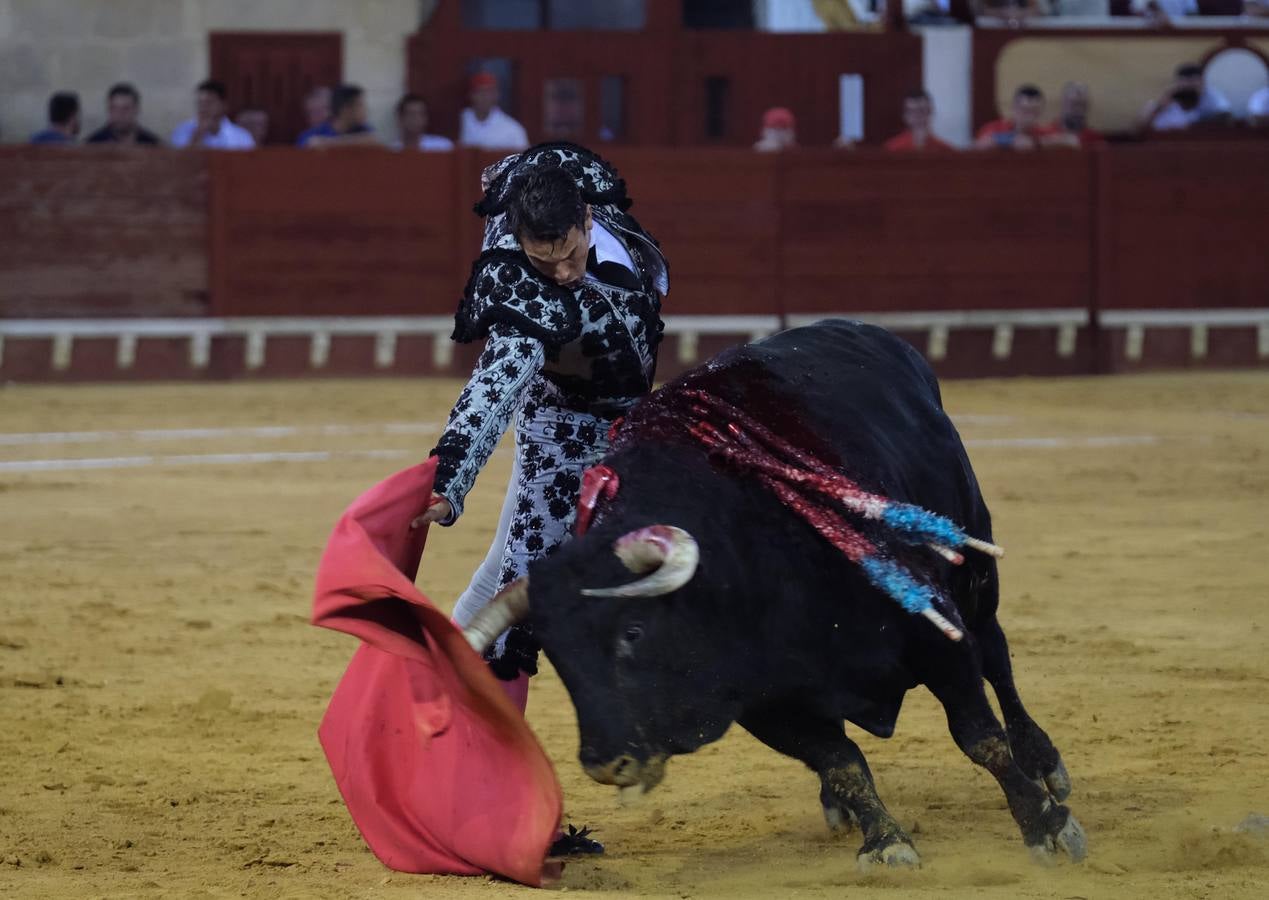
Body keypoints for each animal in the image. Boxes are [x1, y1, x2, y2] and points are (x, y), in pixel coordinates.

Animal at [461, 319, 1086, 868]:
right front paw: (885, 841)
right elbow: (841, 761)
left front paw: (1046, 827)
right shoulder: (764, 699)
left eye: (632, 631)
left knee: (998, 662)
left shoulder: (933, 629)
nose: (603, 764)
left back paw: (1045, 763)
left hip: (976, 576)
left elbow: (980, 738)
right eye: (558, 656)